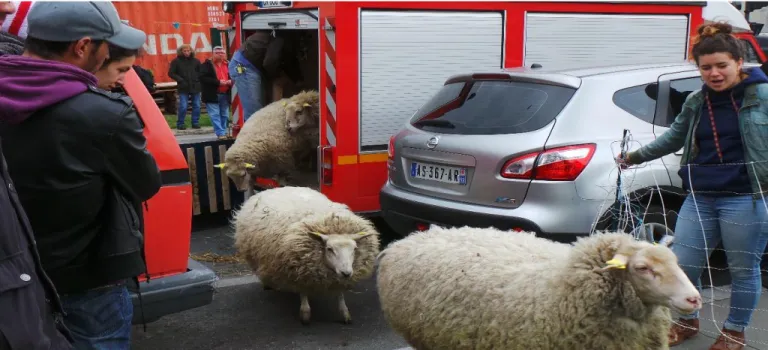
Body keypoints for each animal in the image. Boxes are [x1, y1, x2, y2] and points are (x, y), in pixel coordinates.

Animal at [231, 186, 380, 326]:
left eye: (354, 249)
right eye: (329, 249)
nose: (347, 273)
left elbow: (340, 294)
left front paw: (345, 313)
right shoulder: (299, 267)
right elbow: (303, 291)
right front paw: (305, 314)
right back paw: (267, 283)